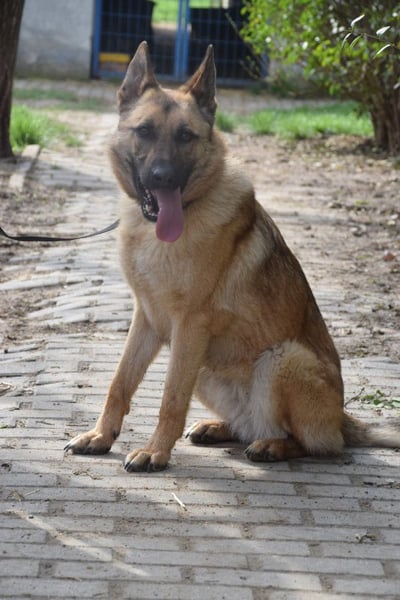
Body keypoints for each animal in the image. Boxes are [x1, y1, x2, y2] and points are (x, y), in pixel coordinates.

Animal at [65, 42, 399, 472]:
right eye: (144, 131)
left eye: (185, 136)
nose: (162, 177)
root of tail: (342, 418)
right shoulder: (148, 320)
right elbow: (119, 382)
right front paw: (101, 436)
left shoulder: (189, 325)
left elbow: (170, 398)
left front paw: (156, 451)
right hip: (205, 367)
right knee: (248, 425)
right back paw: (219, 427)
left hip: (281, 358)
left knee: (315, 444)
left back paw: (273, 446)